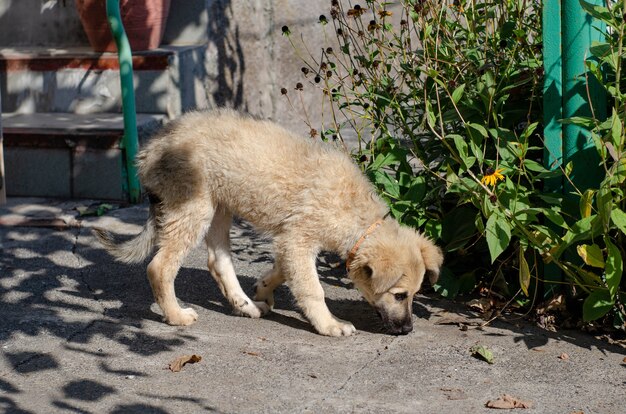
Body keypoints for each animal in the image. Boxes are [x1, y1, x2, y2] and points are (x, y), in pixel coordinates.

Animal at [95, 109, 442, 336]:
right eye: (400, 295)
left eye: (414, 294)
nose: (408, 330)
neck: (355, 214)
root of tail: (150, 149)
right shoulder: (298, 239)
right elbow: (312, 288)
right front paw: (329, 325)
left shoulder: (291, 241)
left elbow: (283, 271)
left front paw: (263, 288)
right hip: (194, 208)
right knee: (160, 267)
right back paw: (176, 316)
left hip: (219, 207)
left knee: (217, 261)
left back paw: (246, 305)